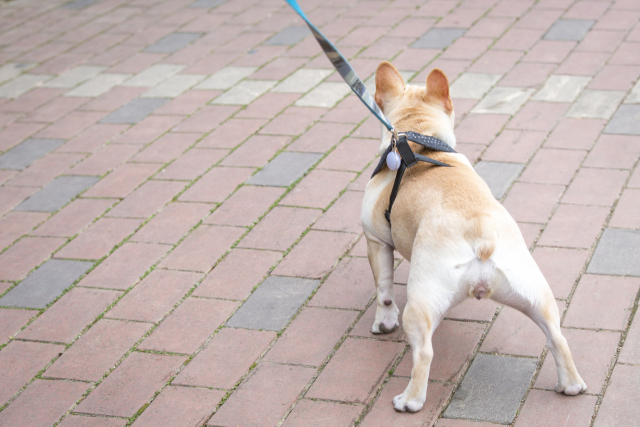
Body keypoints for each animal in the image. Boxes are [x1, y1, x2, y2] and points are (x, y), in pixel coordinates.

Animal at [360, 61, 584, 412]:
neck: (417, 137)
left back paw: (409, 400)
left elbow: (383, 290)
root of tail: (481, 235)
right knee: (557, 337)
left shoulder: (375, 241)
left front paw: (383, 322)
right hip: (532, 290)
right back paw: (571, 385)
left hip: (420, 301)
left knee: (424, 352)